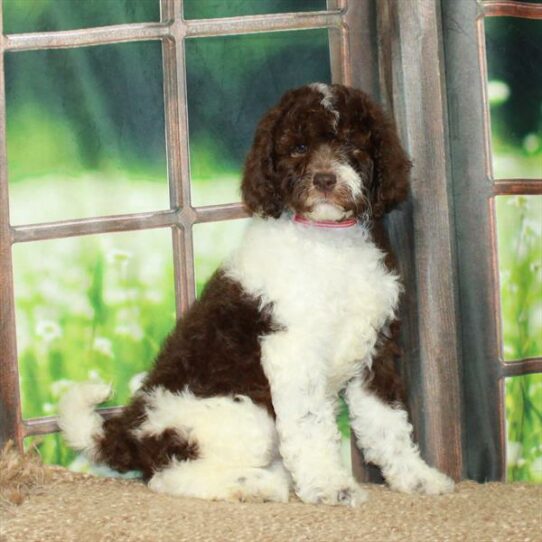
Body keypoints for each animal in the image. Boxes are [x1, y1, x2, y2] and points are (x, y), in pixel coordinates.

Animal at [59, 83, 456, 508]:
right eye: (298, 148)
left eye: (351, 142)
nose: (325, 179)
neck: (329, 239)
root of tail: (131, 431)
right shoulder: (293, 349)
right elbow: (310, 423)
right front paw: (330, 485)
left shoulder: (375, 348)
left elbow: (387, 421)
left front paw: (417, 479)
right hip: (244, 414)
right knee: (168, 475)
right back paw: (255, 485)